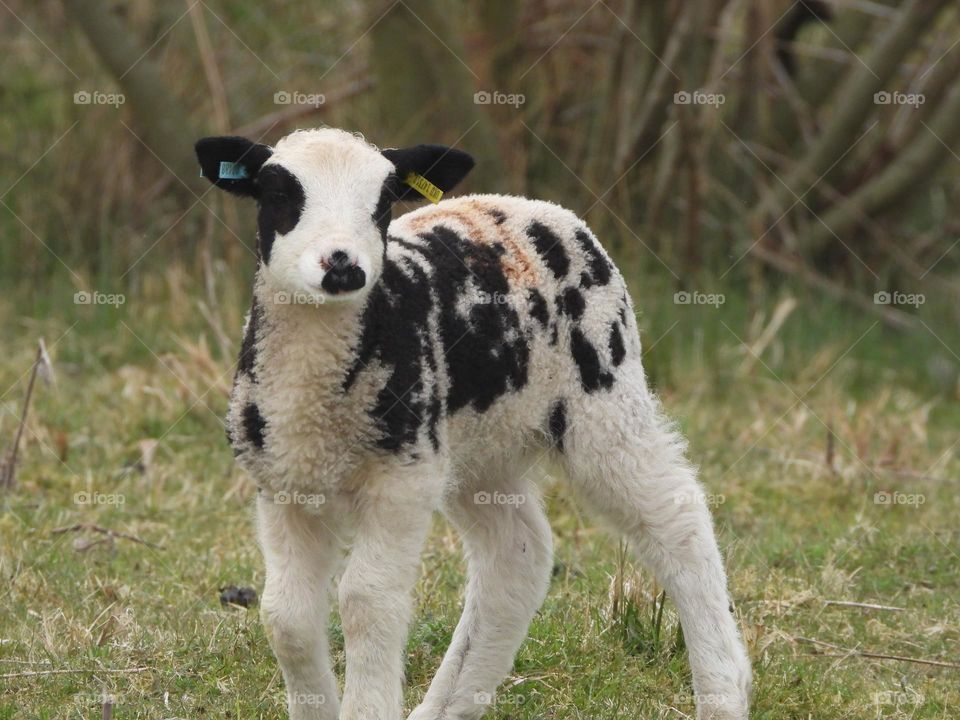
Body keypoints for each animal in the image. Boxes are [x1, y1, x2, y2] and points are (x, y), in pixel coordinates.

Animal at [195, 127, 751, 720]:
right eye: (279, 194)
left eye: (383, 202)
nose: (343, 267)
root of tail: (534, 207)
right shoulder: (281, 482)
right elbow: (287, 616)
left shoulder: (404, 477)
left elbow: (367, 600)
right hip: (484, 443)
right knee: (517, 554)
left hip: (603, 392)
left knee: (676, 517)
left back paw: (724, 690)